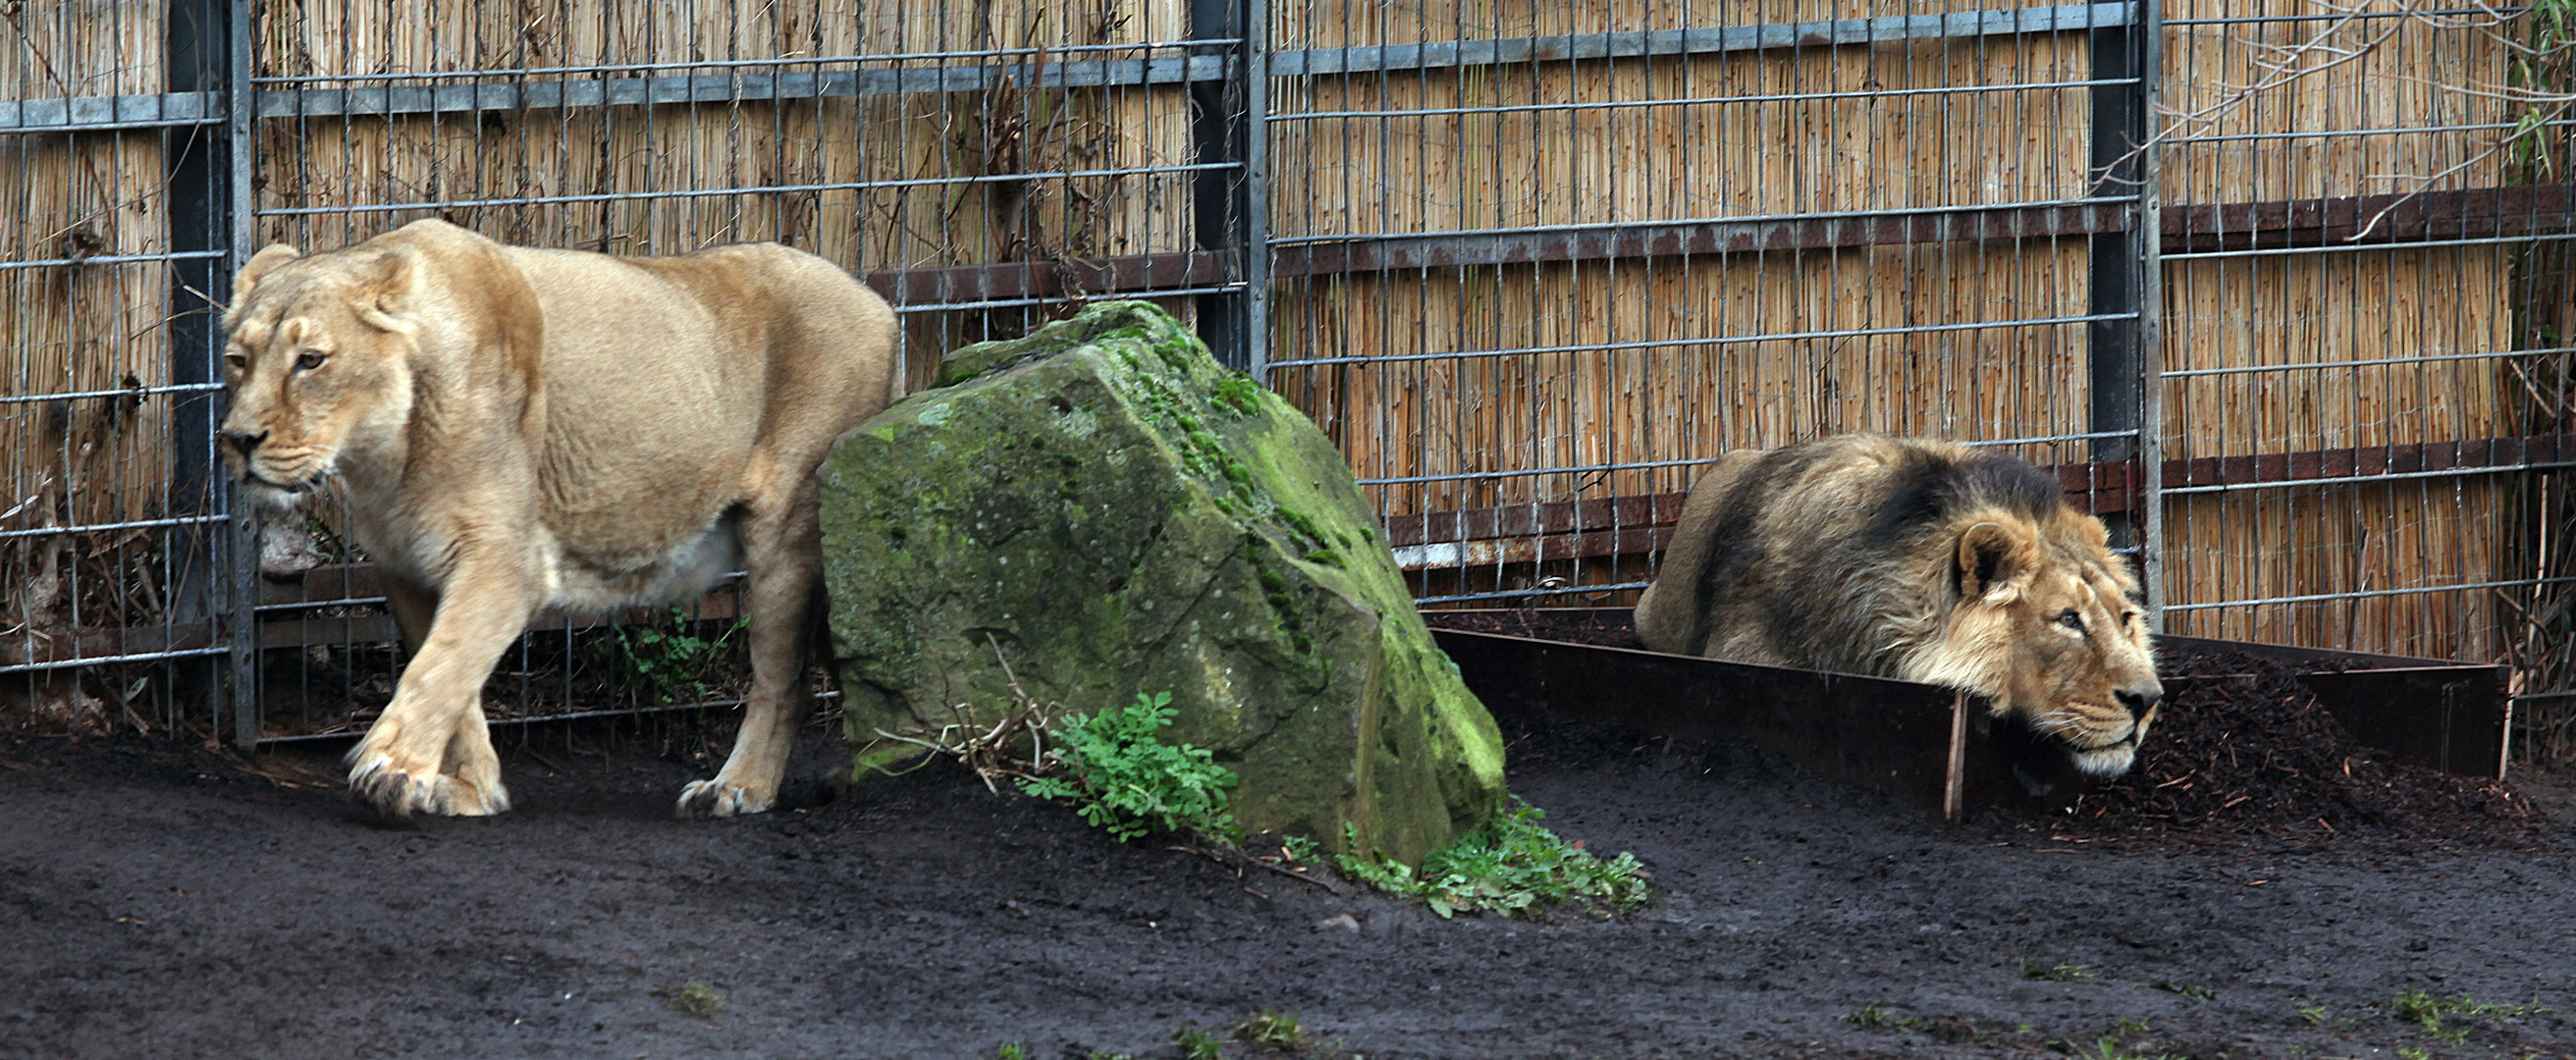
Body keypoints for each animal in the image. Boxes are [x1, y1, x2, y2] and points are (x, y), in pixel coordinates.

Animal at [224, 220, 906, 818]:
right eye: (238, 359)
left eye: (311, 360)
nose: (238, 439)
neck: (386, 455)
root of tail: (876, 300)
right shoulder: (407, 570)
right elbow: (450, 678)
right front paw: (470, 790)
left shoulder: (505, 562)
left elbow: (438, 669)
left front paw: (391, 769)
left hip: (787, 531)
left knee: (783, 681)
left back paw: (739, 788)